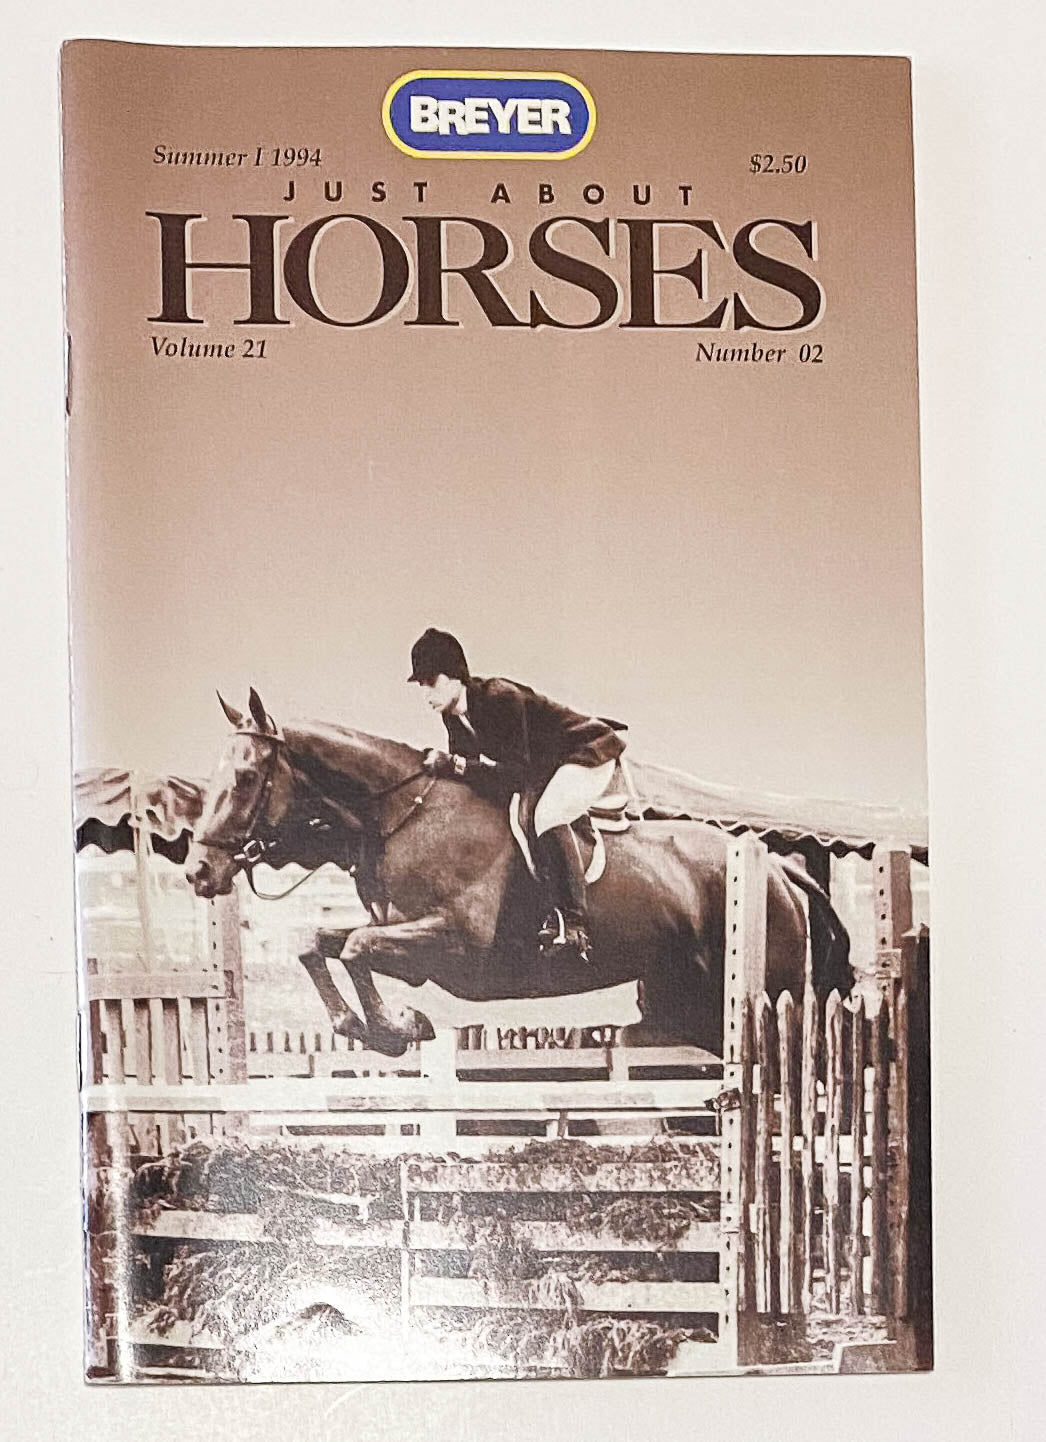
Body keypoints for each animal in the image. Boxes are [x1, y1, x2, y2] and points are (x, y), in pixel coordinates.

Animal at [185, 689, 851, 1056]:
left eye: (244, 777)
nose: (198, 872)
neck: (403, 812)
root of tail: (780, 870)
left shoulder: (456, 943)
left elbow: (354, 948)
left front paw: (398, 1027)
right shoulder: (404, 934)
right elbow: (319, 941)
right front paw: (366, 1024)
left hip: (766, 992)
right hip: (679, 1000)